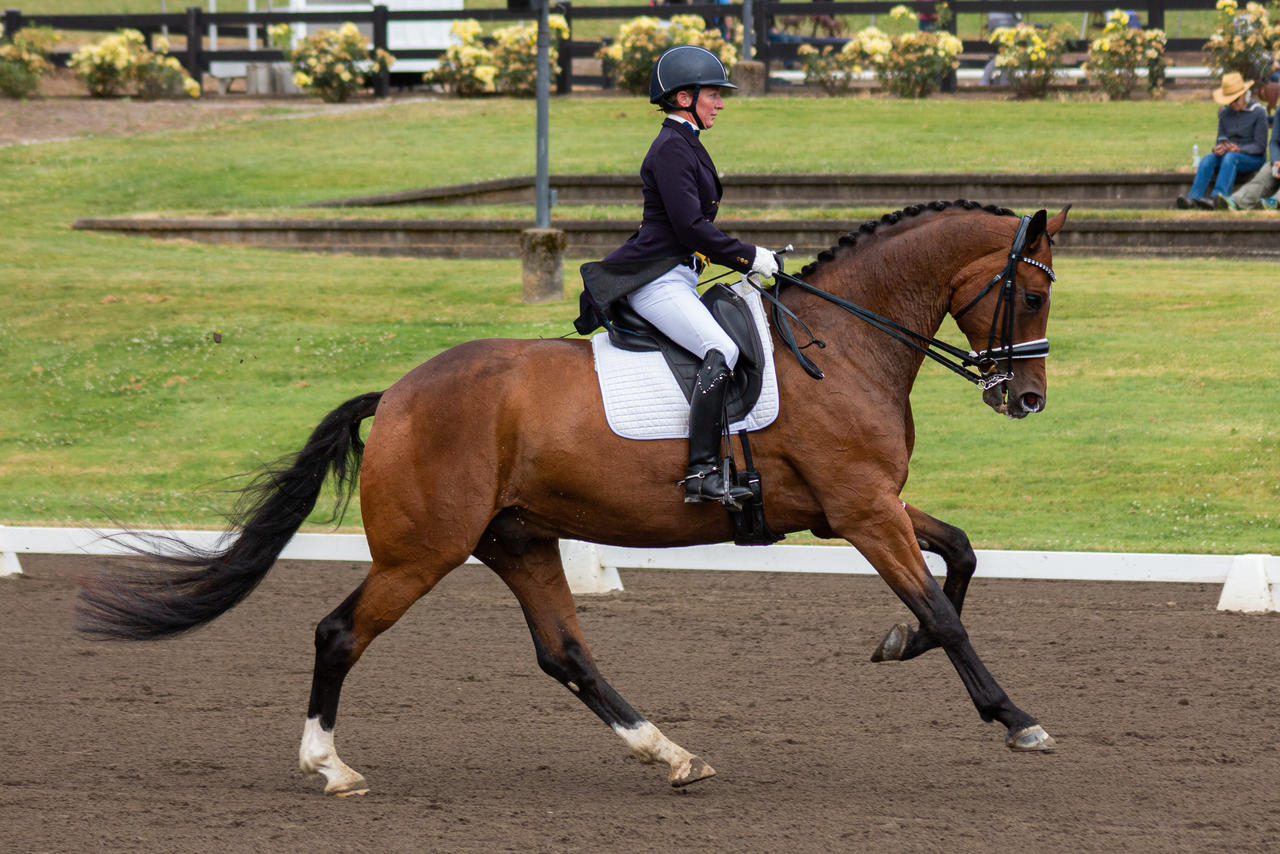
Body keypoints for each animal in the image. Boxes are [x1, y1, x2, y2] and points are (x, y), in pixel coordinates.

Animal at [75, 200, 1069, 796]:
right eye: (1028, 293)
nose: (1026, 400)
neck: (843, 338)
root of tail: (395, 396)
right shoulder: (861, 510)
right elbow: (944, 607)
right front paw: (1016, 720)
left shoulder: (857, 507)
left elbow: (961, 553)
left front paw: (896, 643)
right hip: (423, 550)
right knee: (339, 633)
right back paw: (330, 767)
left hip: (519, 541)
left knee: (566, 654)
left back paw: (669, 753)